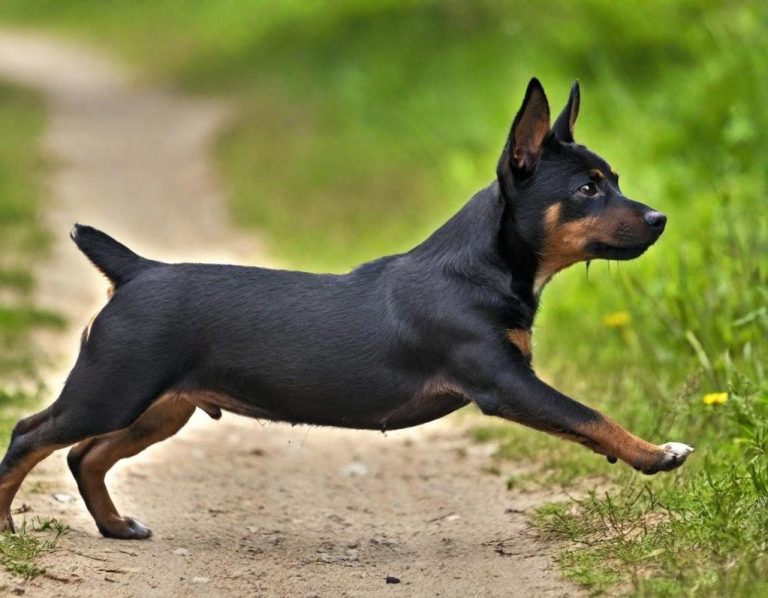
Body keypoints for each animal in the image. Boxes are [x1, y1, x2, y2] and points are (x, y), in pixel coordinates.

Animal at [0, 79, 693, 540]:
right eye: (587, 189)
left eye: (615, 180)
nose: (661, 219)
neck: (482, 266)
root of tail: (138, 270)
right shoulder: (505, 383)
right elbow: (589, 415)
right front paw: (655, 454)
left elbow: (585, 420)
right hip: (112, 390)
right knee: (30, 435)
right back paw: (8, 523)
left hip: (162, 408)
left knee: (83, 455)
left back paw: (116, 527)